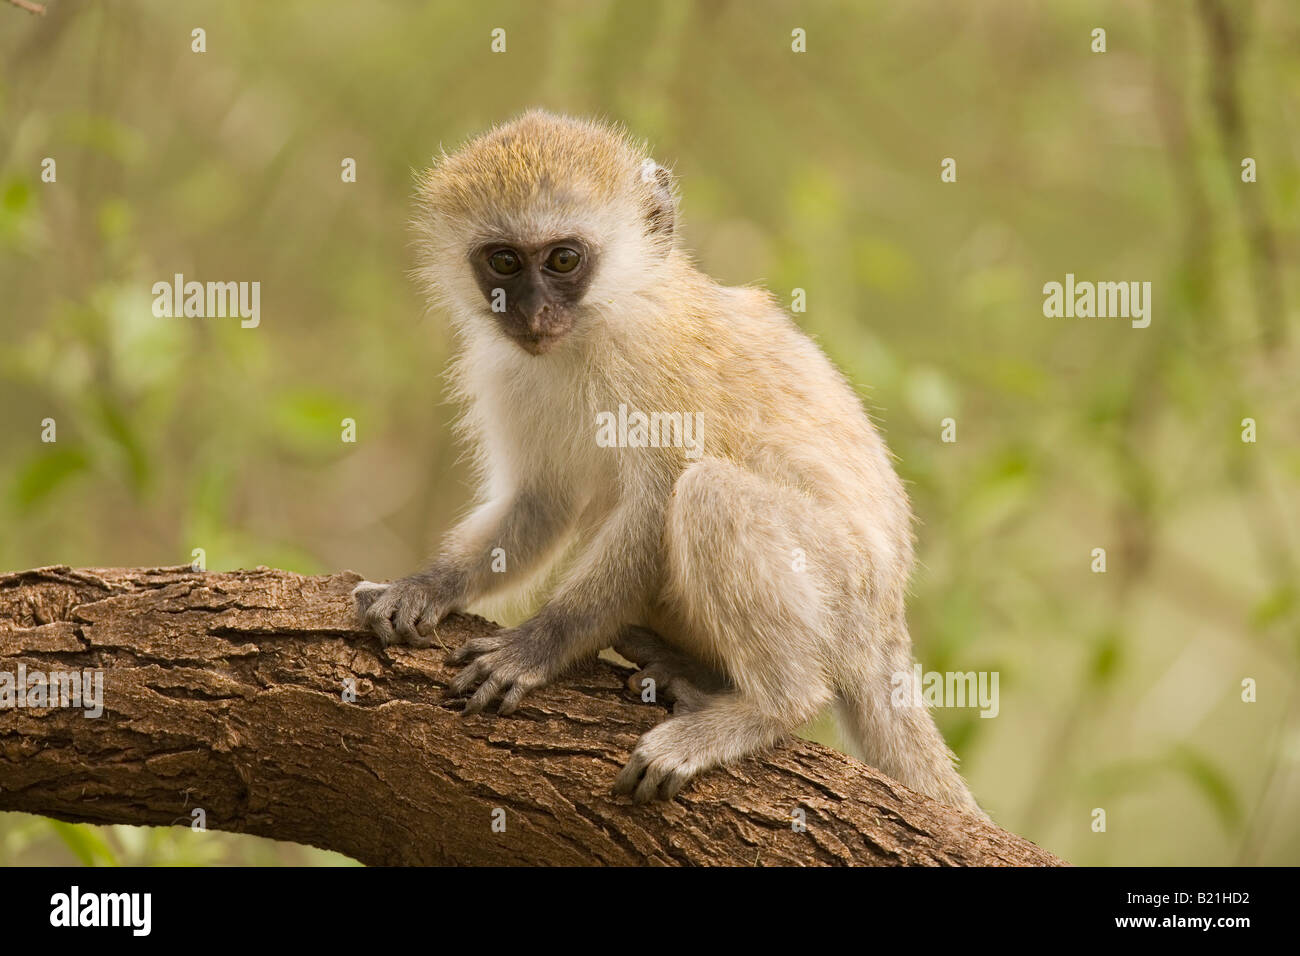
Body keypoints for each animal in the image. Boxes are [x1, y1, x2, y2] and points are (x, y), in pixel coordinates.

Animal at [351, 111, 977, 816]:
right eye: (504, 262)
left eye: (563, 259)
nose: (534, 314)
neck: (594, 327)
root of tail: (886, 626)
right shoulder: (507, 368)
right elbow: (542, 503)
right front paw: (428, 585)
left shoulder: (654, 362)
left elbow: (655, 505)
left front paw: (536, 647)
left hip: (844, 588)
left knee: (711, 493)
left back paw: (767, 707)